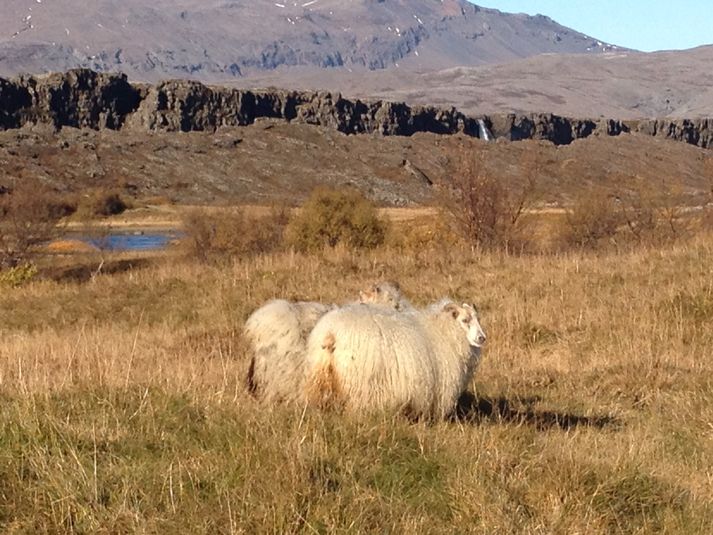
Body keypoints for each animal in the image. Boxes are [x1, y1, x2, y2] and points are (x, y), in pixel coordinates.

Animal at [304, 300, 486, 420]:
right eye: (465, 320)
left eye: (478, 319)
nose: (482, 338)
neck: (443, 331)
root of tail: (331, 334)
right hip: (359, 384)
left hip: (319, 377)